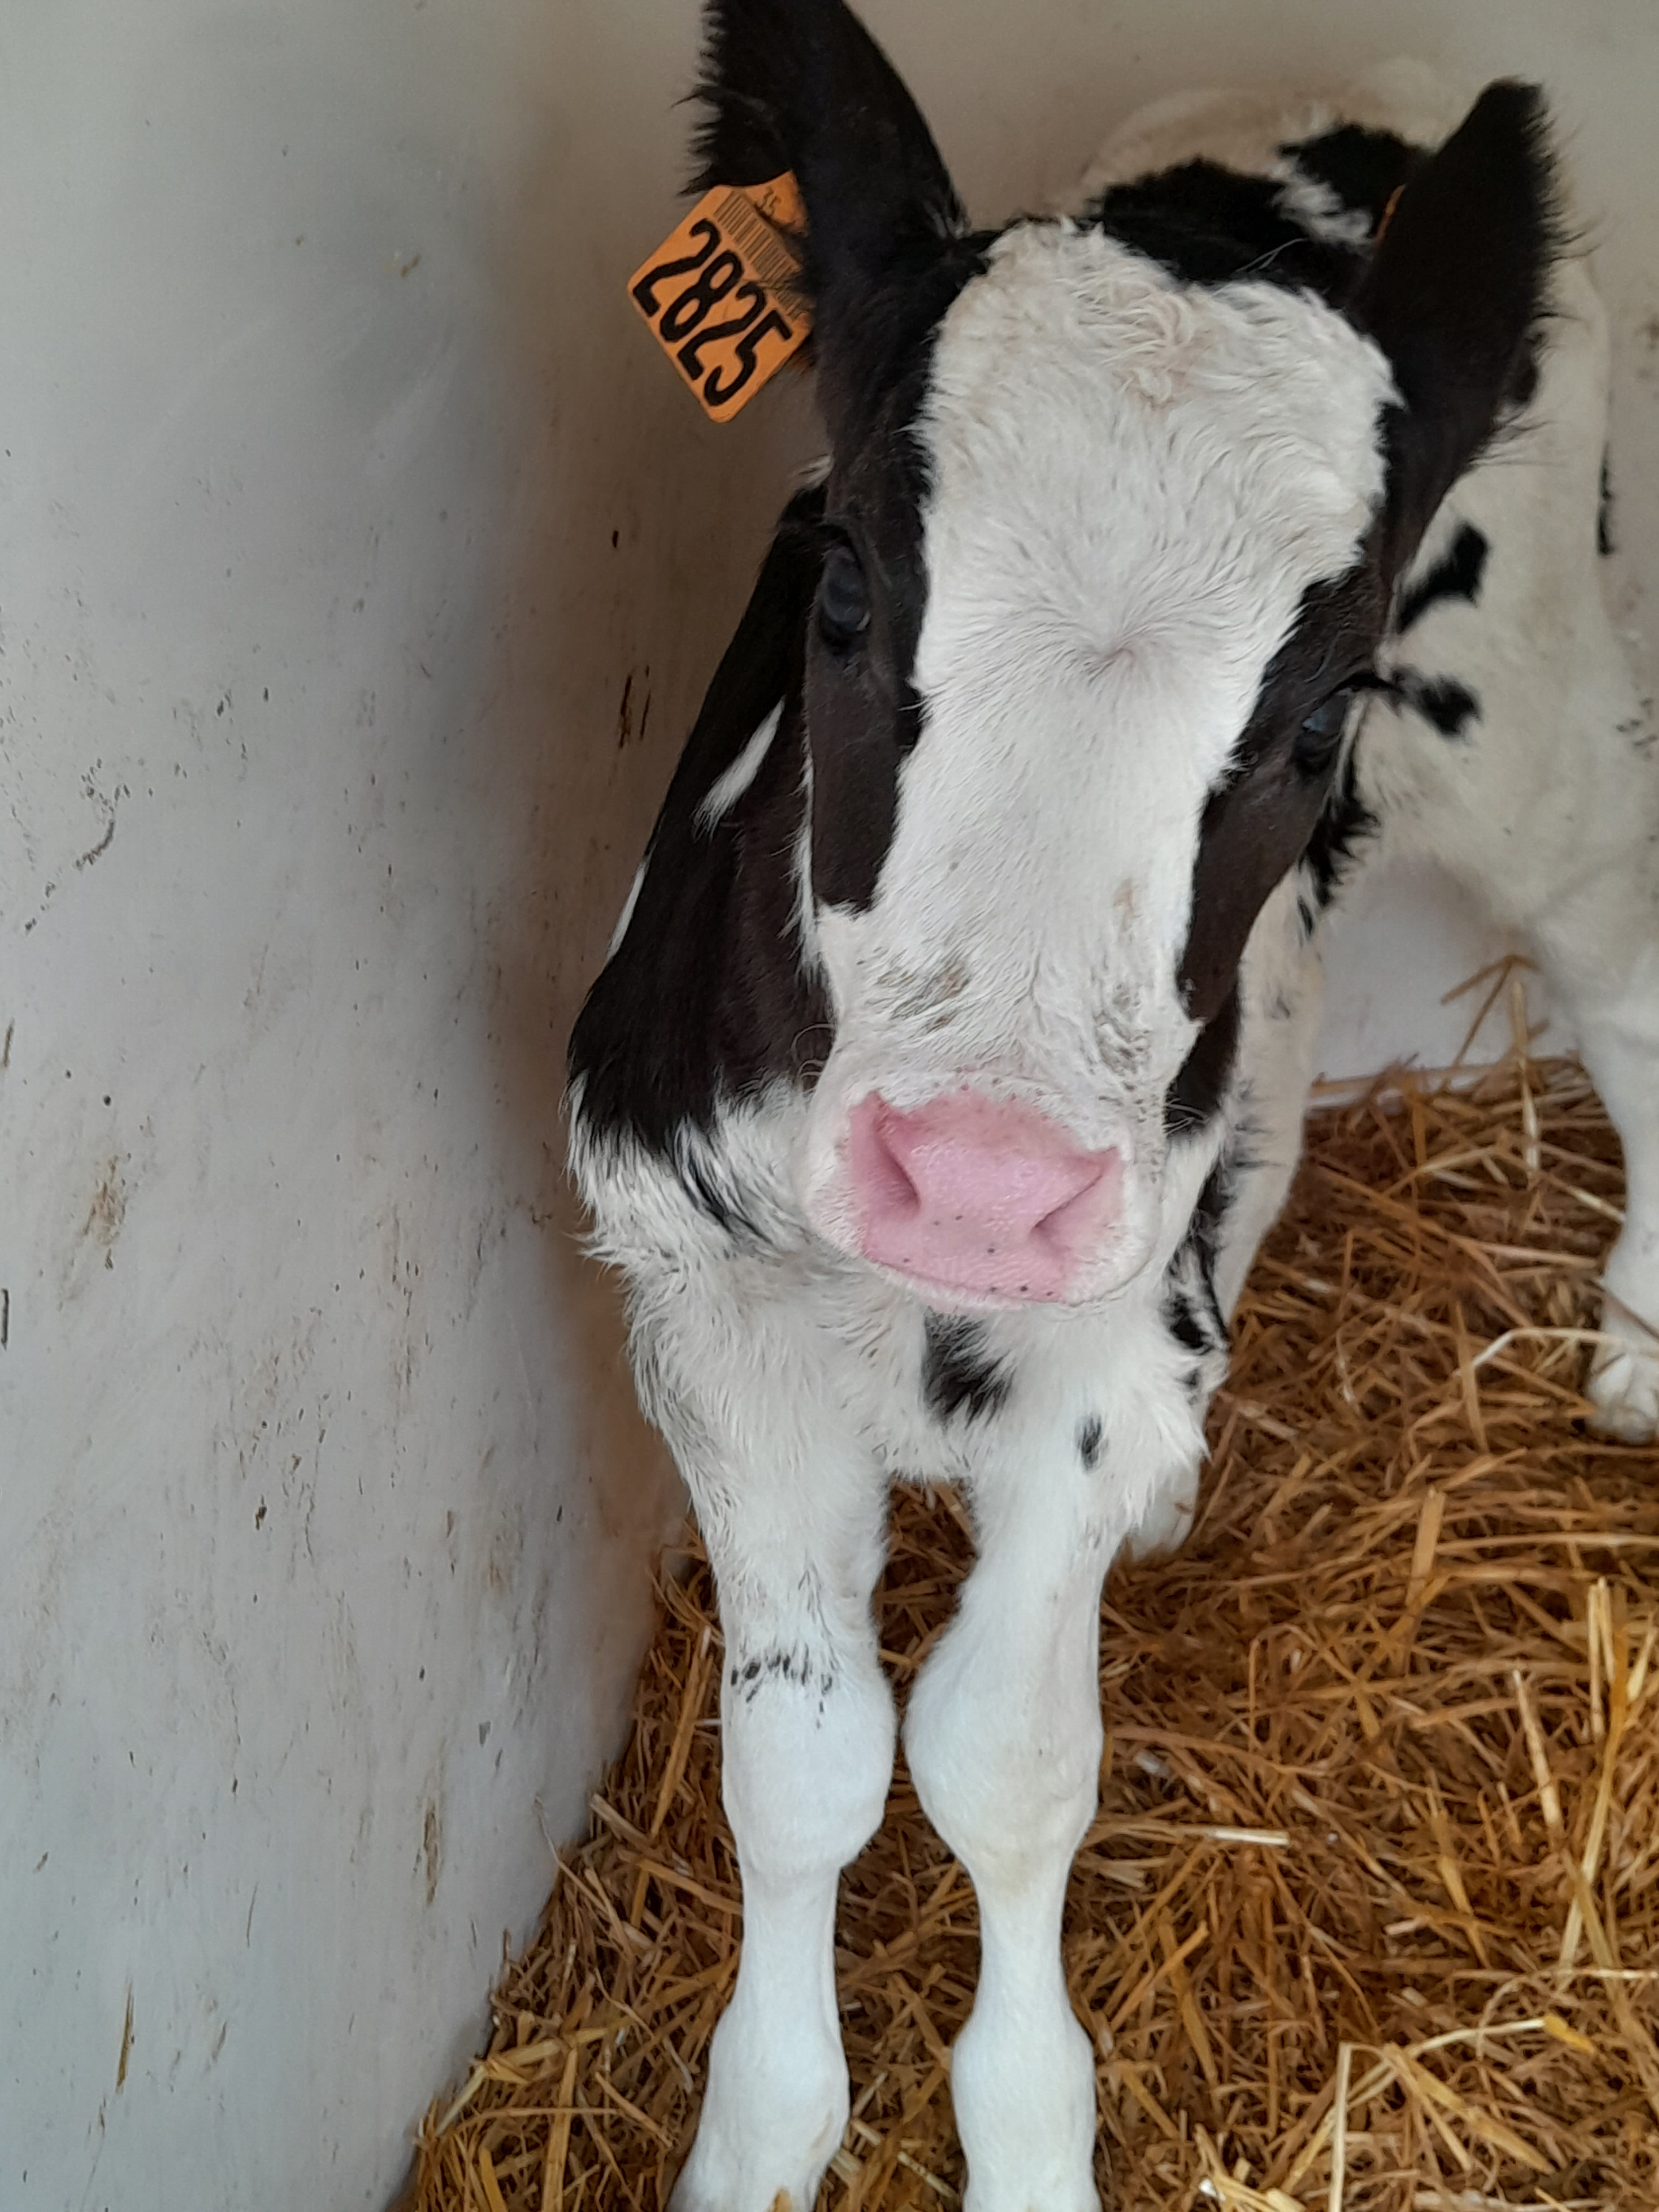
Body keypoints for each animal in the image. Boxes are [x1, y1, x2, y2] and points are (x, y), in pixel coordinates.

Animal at [567, 3, 1659, 2205]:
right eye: (843, 586)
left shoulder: (1075, 1362)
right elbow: (801, 1765)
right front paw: (764, 2131)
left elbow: (998, 1761)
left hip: (1545, 740)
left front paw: (1025, 2138)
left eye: (1318, 708)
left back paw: (1645, 1339)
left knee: (1631, 975)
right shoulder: (717, 1320)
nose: (980, 1182)